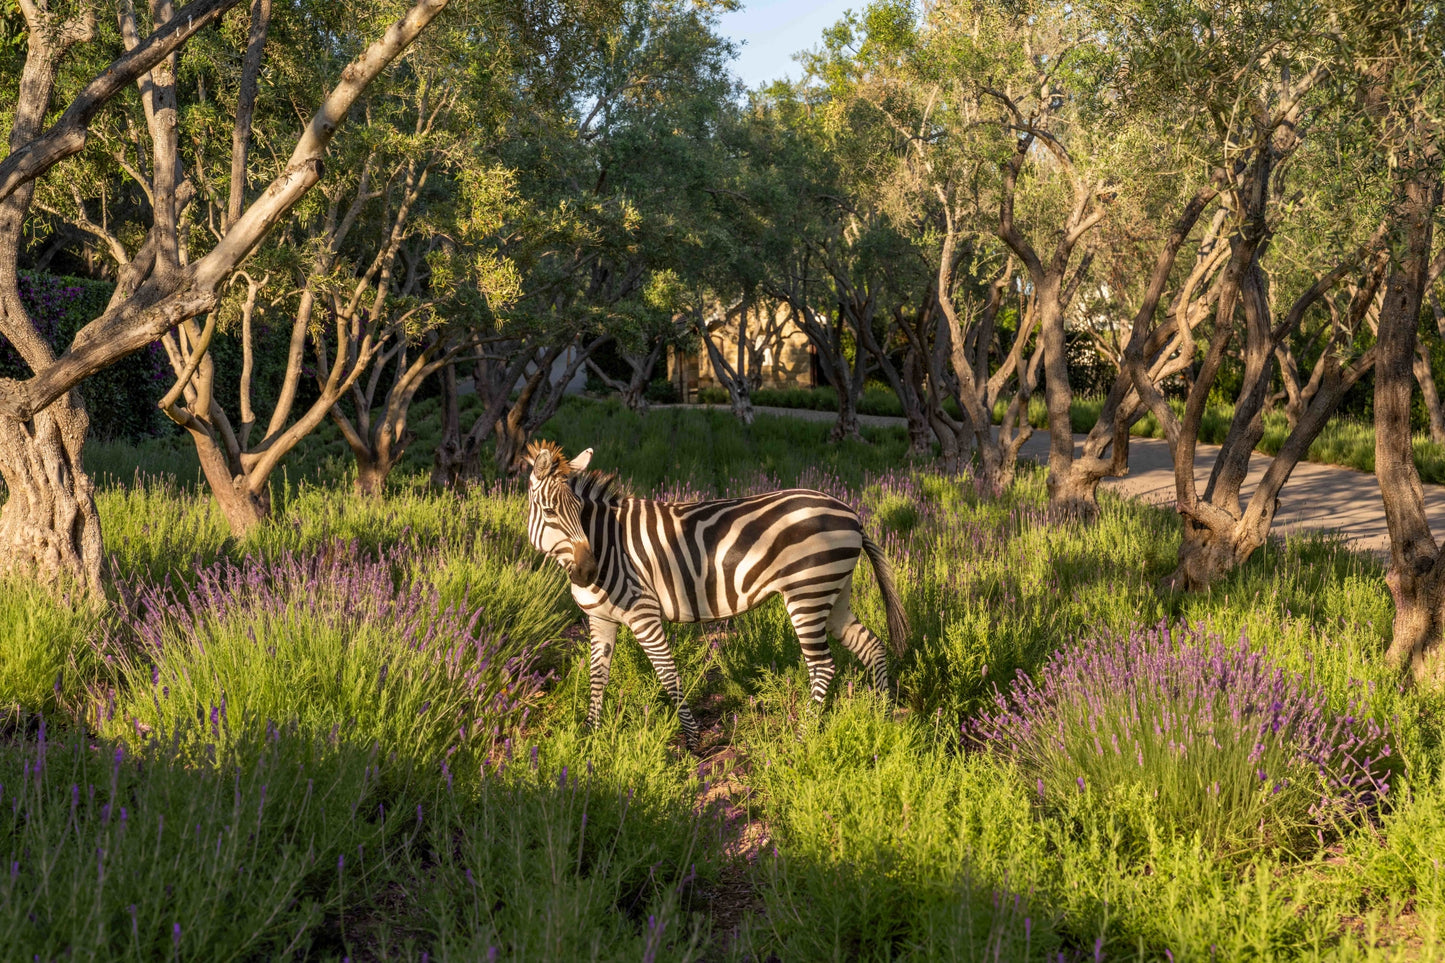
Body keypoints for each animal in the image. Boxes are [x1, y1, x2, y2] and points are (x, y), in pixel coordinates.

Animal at [523, 439, 901, 751]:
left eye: (578, 513)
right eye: (551, 512)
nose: (586, 571)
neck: (606, 543)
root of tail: (852, 514)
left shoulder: (643, 612)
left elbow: (668, 674)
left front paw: (692, 741)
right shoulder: (600, 618)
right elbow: (597, 676)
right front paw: (591, 734)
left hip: (807, 594)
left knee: (823, 666)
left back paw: (800, 738)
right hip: (833, 593)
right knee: (872, 645)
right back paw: (881, 715)